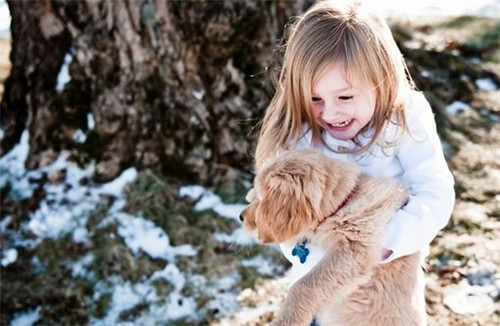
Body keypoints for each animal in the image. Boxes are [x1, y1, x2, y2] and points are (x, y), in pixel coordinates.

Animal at [241, 148, 426, 326]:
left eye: (260, 199)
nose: (240, 217)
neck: (345, 203)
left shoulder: (355, 248)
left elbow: (305, 285)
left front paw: (287, 320)